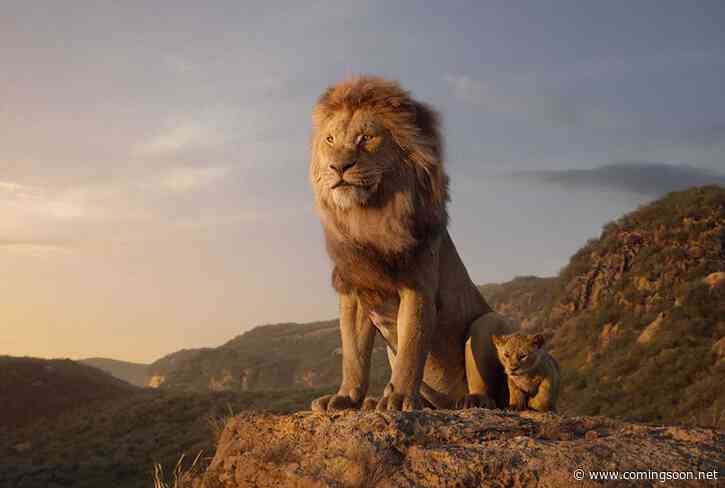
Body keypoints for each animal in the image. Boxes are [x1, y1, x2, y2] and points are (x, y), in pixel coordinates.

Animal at [309, 76, 517, 412]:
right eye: (330, 139)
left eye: (366, 137)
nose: (338, 167)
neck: (369, 216)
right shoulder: (355, 291)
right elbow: (353, 355)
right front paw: (346, 398)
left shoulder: (417, 288)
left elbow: (411, 348)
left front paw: (399, 398)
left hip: (487, 323)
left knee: (494, 391)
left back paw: (473, 400)